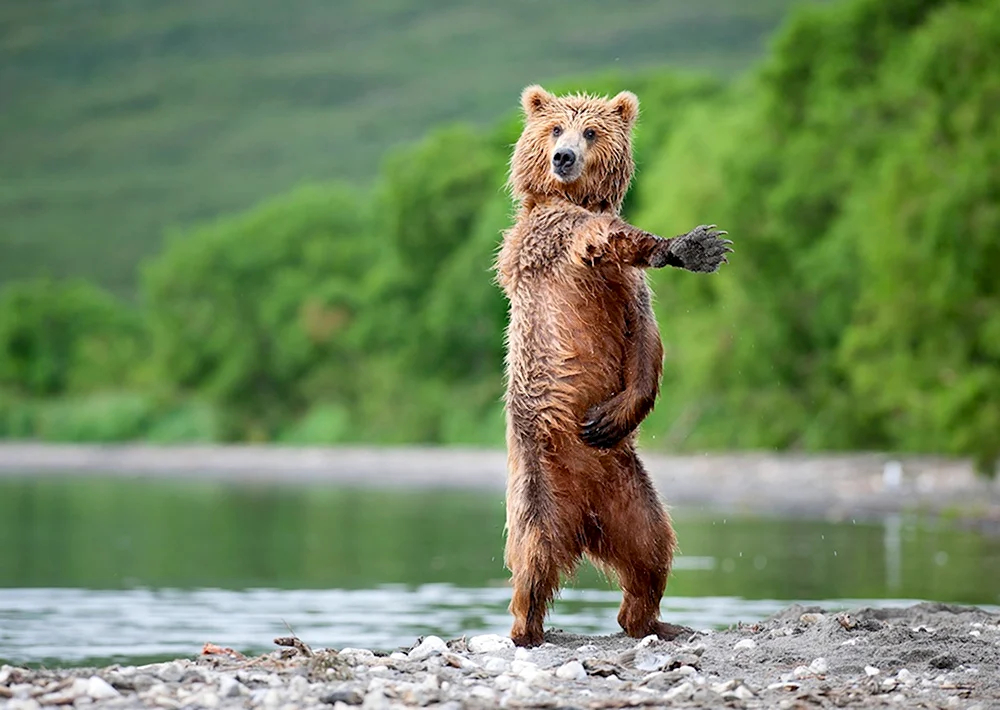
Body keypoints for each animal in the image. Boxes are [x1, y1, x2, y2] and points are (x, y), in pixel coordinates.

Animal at [496, 86, 732, 648]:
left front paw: (609, 417)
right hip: (538, 481)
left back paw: (652, 621)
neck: (571, 198)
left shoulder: (629, 294)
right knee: (533, 554)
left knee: (652, 547)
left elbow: (646, 343)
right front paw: (685, 246)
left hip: (628, 487)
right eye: (555, 129)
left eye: (591, 131)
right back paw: (527, 628)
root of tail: (584, 520)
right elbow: (604, 237)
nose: (563, 158)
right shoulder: (558, 238)